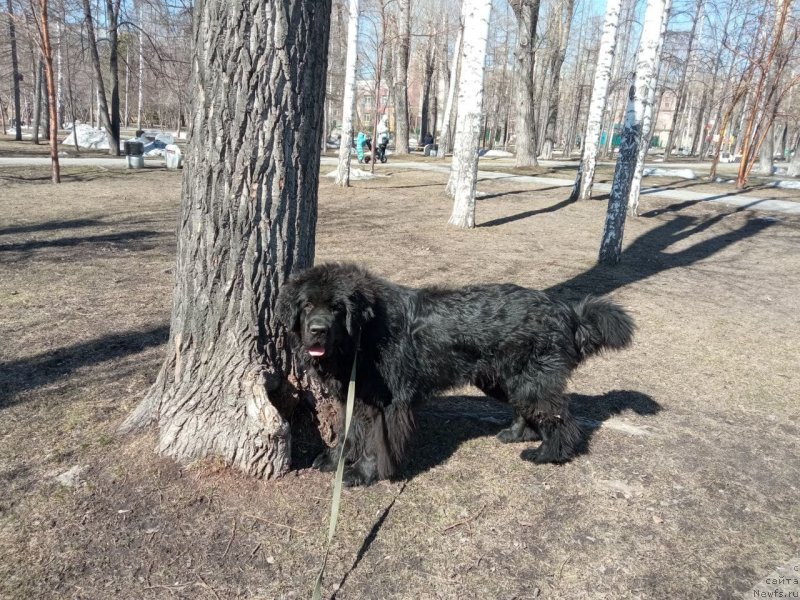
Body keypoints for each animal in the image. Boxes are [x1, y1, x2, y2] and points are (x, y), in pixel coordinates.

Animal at [278, 264, 636, 488]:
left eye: (337, 308)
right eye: (307, 305)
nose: (317, 330)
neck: (364, 335)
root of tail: (569, 313)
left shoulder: (386, 403)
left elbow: (374, 443)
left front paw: (362, 474)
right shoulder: (355, 395)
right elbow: (348, 432)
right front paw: (335, 459)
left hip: (532, 380)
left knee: (560, 417)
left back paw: (548, 454)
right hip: (502, 379)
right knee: (528, 409)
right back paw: (516, 434)